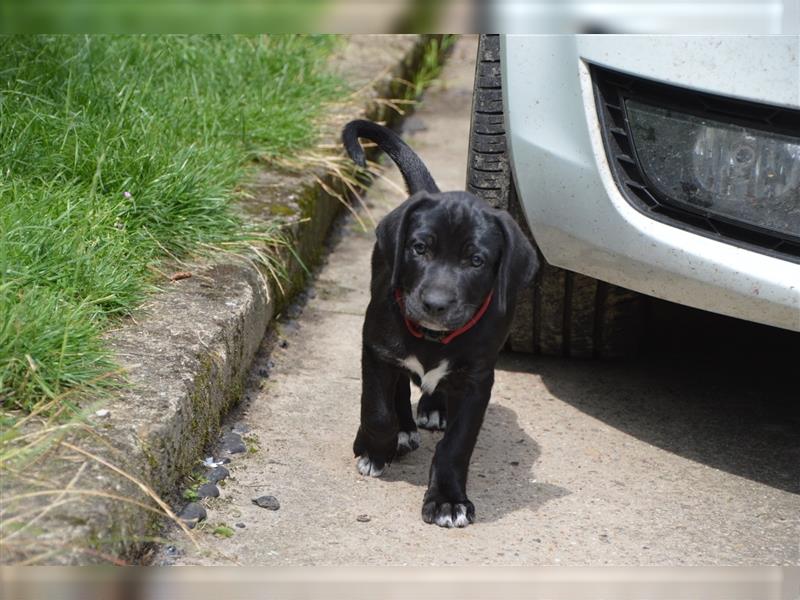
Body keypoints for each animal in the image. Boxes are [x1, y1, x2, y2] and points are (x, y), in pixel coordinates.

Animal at [340, 119, 536, 528]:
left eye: (476, 261)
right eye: (419, 249)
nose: (435, 304)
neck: (433, 338)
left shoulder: (477, 379)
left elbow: (457, 445)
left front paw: (448, 500)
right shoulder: (375, 347)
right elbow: (377, 410)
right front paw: (374, 448)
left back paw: (434, 407)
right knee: (398, 388)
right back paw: (402, 430)